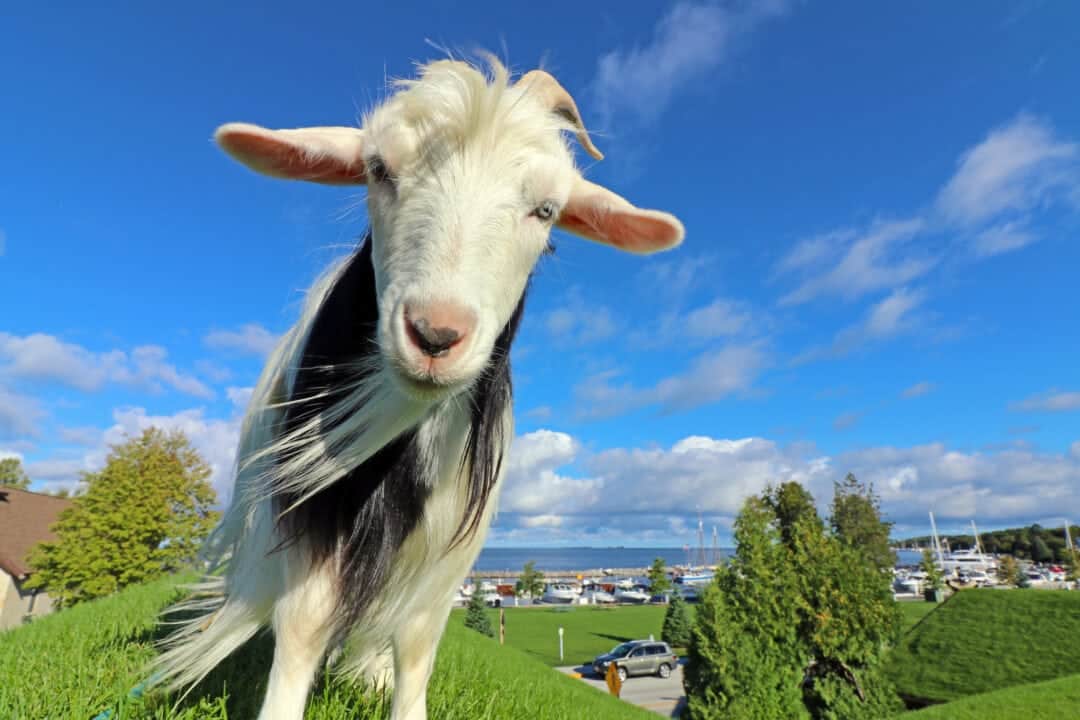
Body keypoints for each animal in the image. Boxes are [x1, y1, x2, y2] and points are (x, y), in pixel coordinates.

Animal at [154, 57, 685, 720]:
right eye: (380, 170)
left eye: (546, 210)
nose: (435, 334)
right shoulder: (302, 506)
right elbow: (303, 620)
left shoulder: (448, 534)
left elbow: (416, 639)